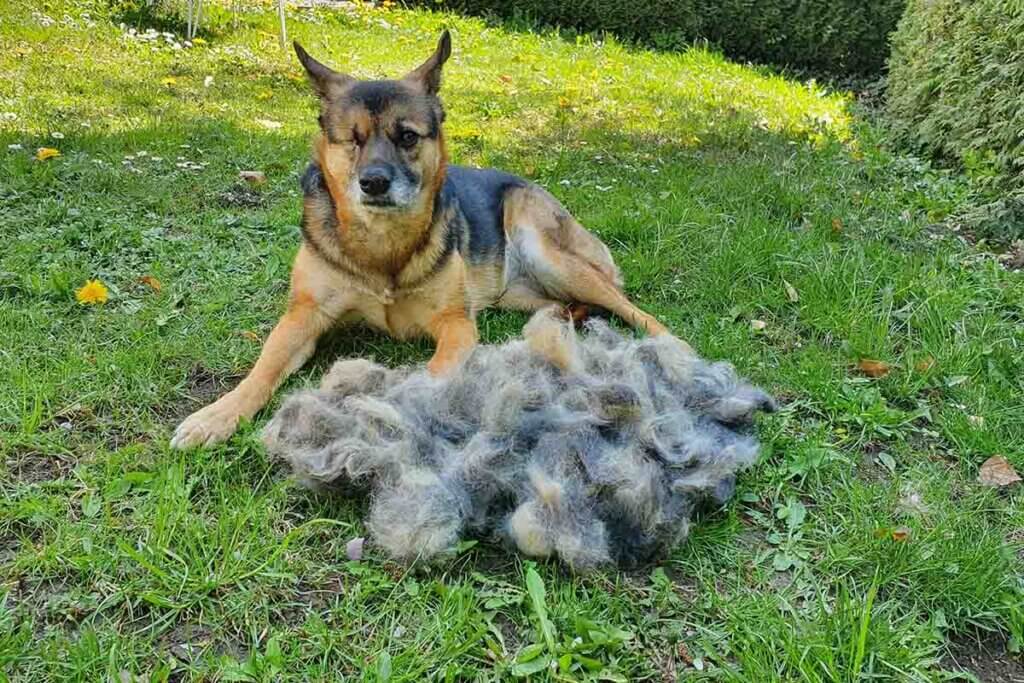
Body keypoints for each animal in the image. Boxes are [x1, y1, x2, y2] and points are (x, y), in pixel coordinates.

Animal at [171, 31, 675, 450]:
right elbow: (262, 370)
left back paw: (672, 349)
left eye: (407, 136)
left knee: (633, 308)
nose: (374, 183)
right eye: (352, 140)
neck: (383, 246)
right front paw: (216, 415)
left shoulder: (455, 324)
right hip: (523, 295)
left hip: (549, 253)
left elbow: (432, 374)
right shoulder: (303, 316)